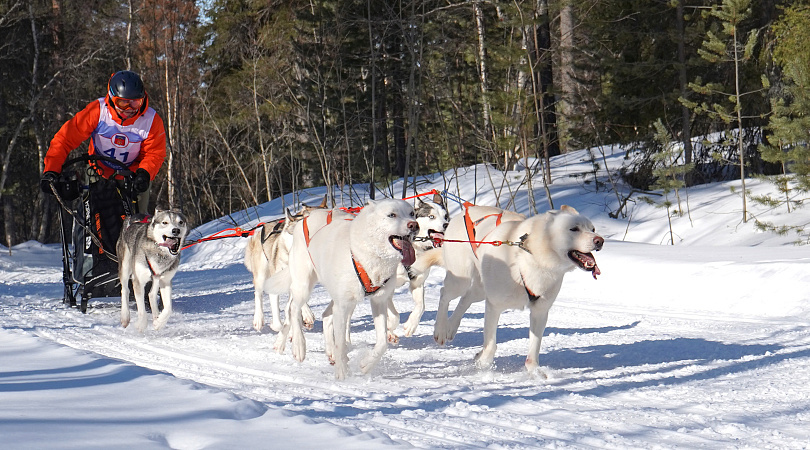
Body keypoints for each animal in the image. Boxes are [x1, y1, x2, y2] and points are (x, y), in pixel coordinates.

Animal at [268, 200, 416, 380]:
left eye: (412, 213)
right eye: (391, 215)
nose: (414, 225)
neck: (366, 254)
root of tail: (306, 219)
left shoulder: (378, 301)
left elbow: (382, 343)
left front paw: (366, 365)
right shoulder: (343, 306)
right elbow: (340, 343)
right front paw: (342, 374)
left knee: (325, 316)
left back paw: (330, 352)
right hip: (304, 286)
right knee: (293, 309)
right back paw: (298, 346)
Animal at [386, 192, 448, 340]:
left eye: (445, 216)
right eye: (431, 216)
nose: (446, 224)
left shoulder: (417, 283)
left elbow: (421, 306)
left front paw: (411, 325)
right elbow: (394, 316)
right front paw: (390, 328)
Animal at [432, 204, 604, 372]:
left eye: (593, 229)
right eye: (574, 229)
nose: (600, 240)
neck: (531, 258)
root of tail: (464, 210)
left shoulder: (540, 311)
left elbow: (534, 350)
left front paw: (534, 371)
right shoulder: (494, 306)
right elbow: (491, 345)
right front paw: (483, 364)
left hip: (480, 289)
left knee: (466, 298)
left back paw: (451, 328)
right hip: (461, 279)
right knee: (444, 294)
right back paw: (441, 330)